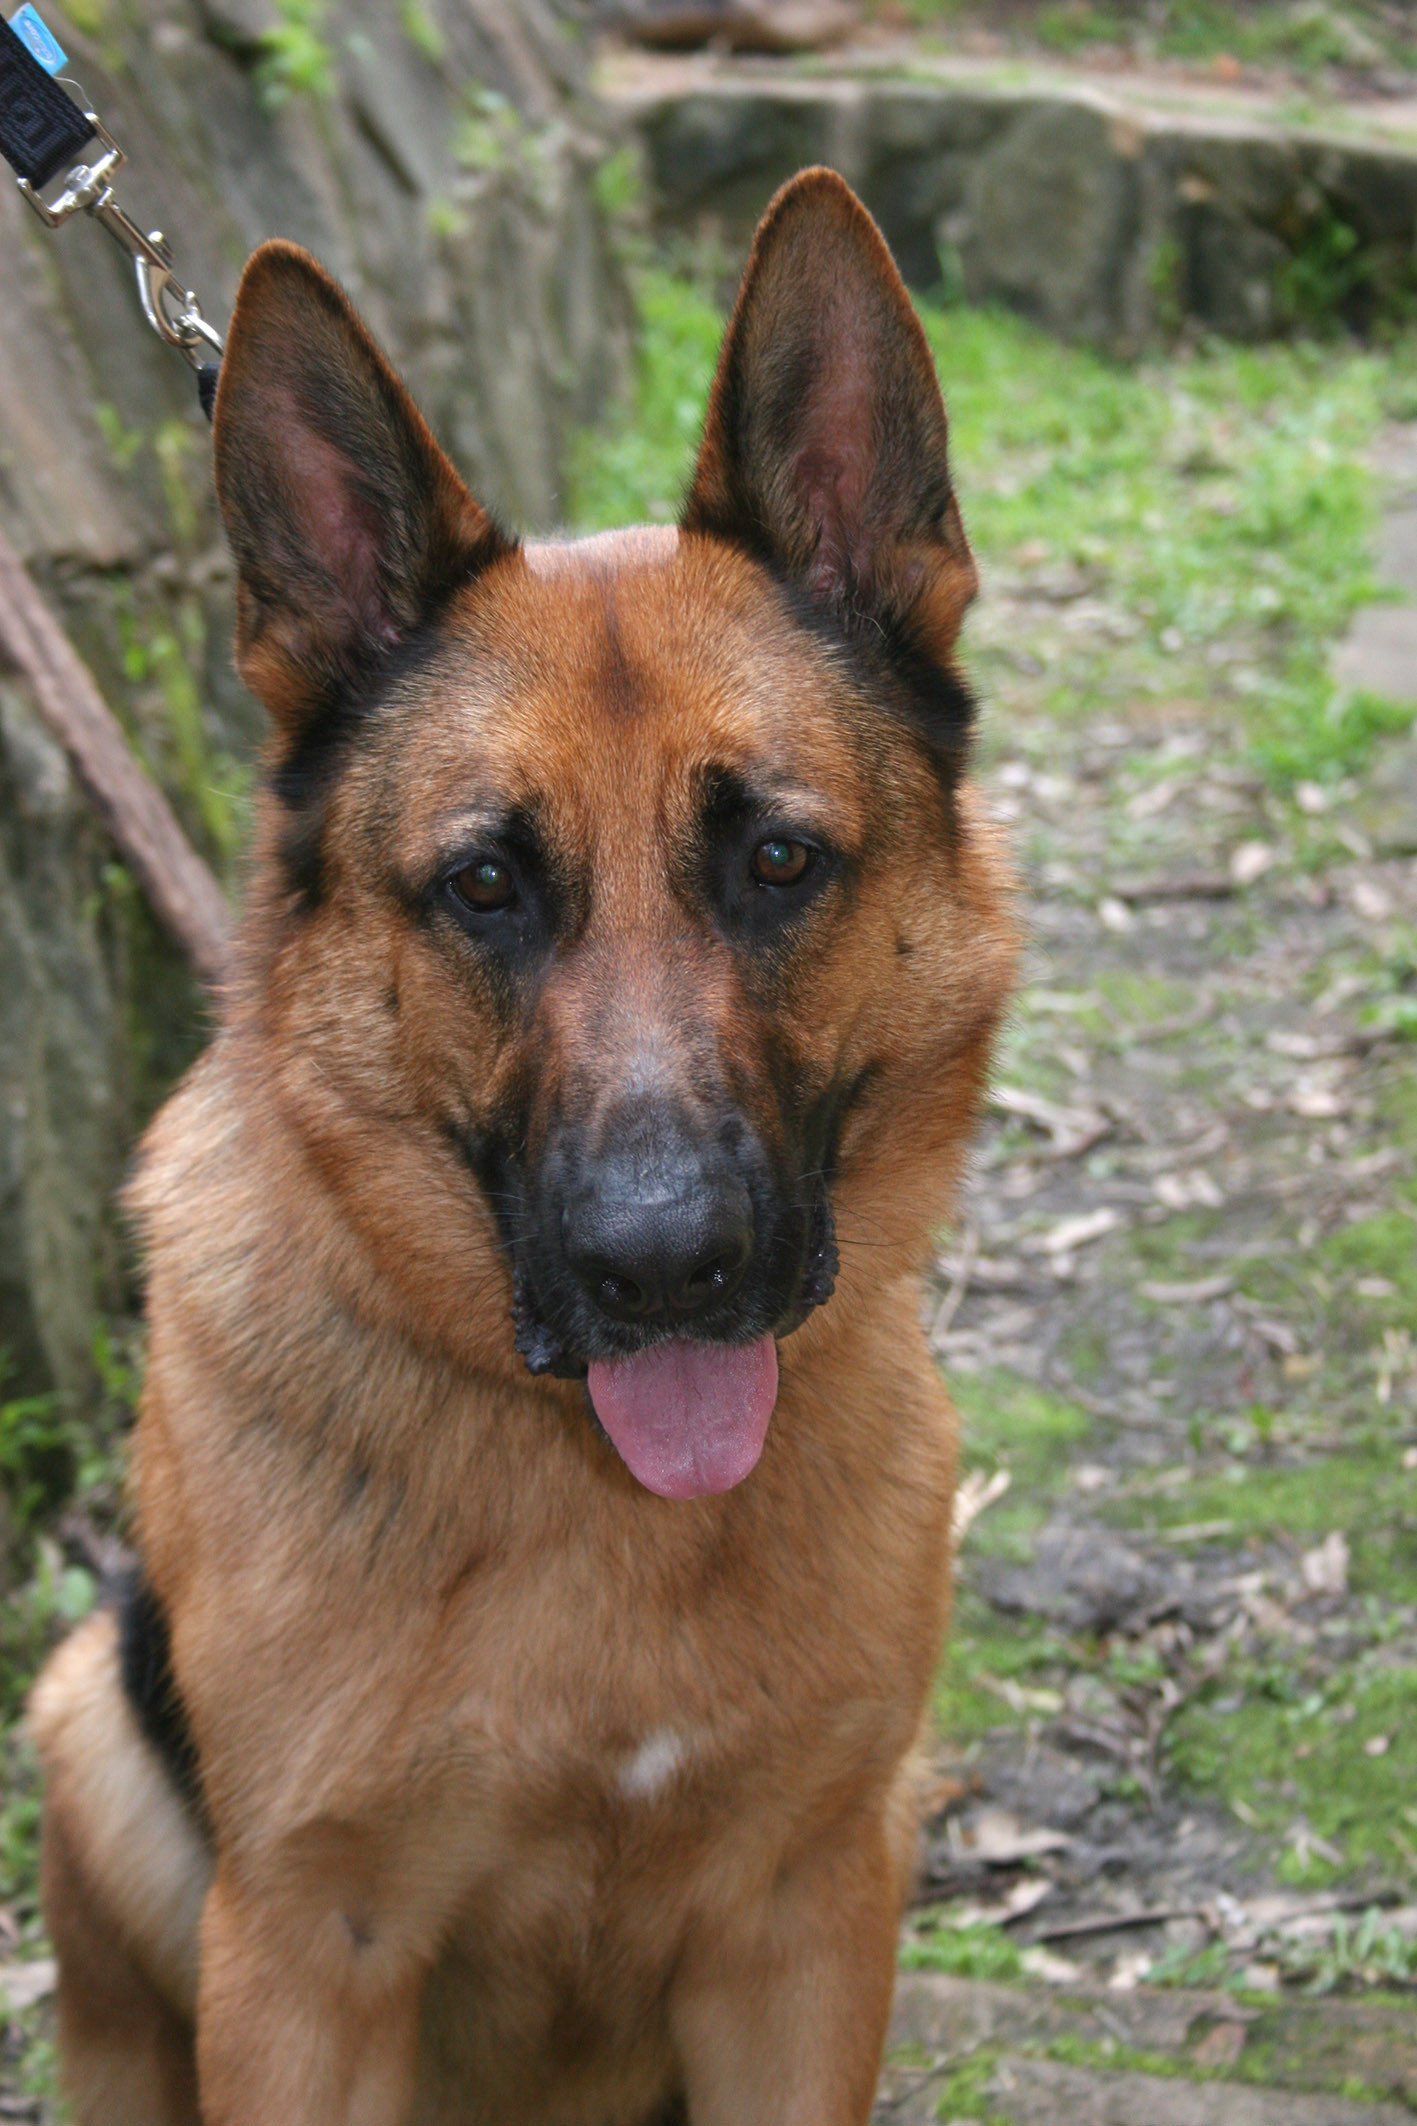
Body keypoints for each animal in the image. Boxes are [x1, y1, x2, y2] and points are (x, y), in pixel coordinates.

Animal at [30, 170, 1006, 2126]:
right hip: (89, 1729)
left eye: (777, 859)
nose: (666, 1266)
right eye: (485, 883)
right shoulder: (309, 1961)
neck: (596, 1500)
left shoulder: (802, 1925)